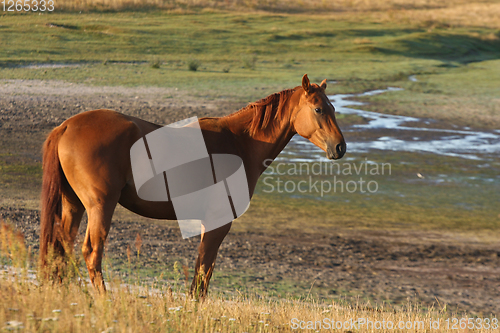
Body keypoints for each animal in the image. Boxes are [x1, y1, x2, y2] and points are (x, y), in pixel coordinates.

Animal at [39, 74, 346, 294]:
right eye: (319, 109)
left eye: (333, 107)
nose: (340, 147)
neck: (239, 143)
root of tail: (67, 126)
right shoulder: (218, 224)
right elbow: (203, 276)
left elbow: (200, 273)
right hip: (100, 206)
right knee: (91, 253)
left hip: (74, 204)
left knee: (61, 247)